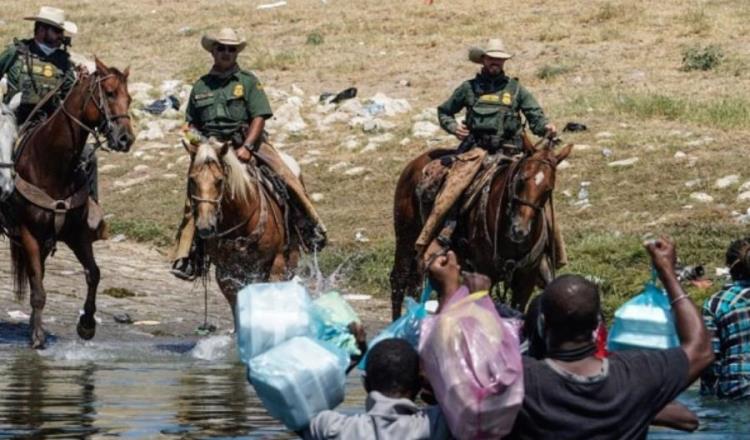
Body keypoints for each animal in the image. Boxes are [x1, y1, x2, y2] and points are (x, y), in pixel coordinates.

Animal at [8, 58, 135, 348]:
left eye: (130, 98)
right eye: (109, 93)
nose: (126, 139)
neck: (51, 164)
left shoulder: (76, 234)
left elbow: (93, 273)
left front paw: (86, 325)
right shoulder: (29, 233)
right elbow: (38, 288)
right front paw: (38, 337)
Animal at [390, 139, 572, 318]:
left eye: (548, 189)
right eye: (521, 180)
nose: (519, 230)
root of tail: (413, 165)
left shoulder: (525, 281)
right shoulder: (484, 274)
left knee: (417, 284)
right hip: (406, 237)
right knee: (399, 280)